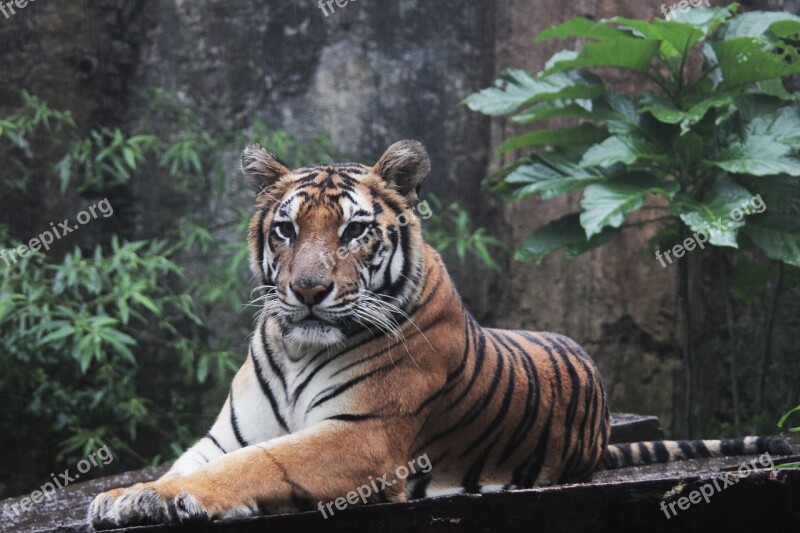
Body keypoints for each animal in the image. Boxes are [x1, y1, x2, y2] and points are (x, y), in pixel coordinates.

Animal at [89, 139, 792, 524]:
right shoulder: (223, 435)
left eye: (354, 231)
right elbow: (195, 462)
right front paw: (131, 495)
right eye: (286, 229)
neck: (296, 351)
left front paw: (168, 497)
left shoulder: (361, 437)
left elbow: (256, 465)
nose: (309, 291)